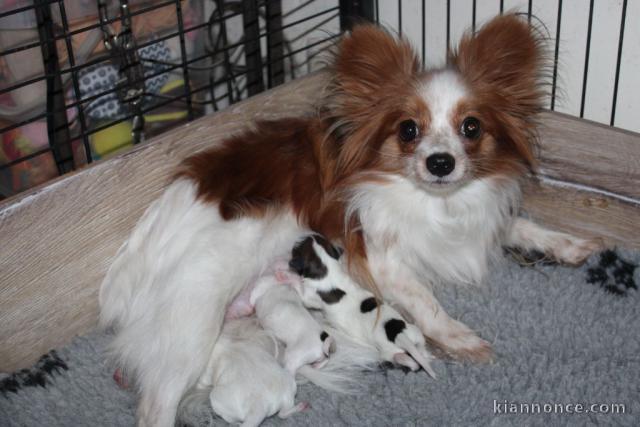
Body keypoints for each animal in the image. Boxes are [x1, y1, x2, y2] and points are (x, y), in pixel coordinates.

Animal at [288, 234, 436, 378]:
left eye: (296, 248)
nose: (298, 238)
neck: (327, 268)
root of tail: (398, 335)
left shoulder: (310, 297)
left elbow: (303, 295)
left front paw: (291, 279)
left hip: (389, 352)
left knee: (409, 361)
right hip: (415, 334)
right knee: (418, 353)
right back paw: (426, 355)